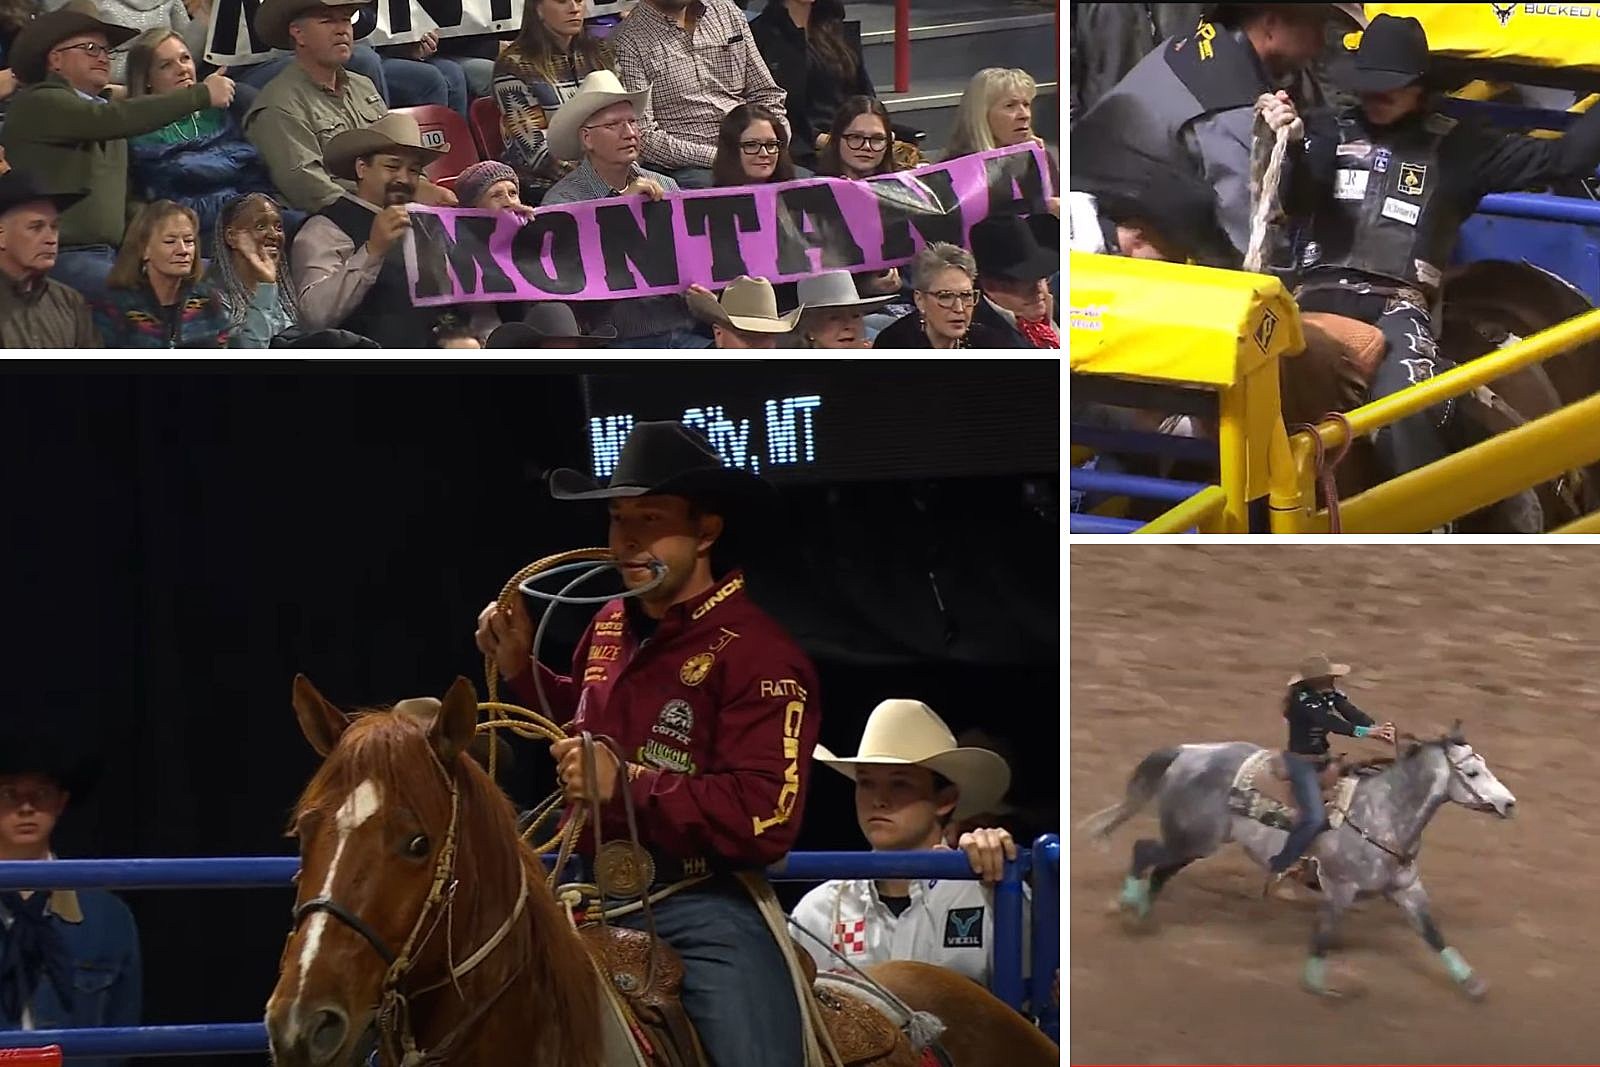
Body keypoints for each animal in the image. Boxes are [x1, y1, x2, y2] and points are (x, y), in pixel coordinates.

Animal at [1081, 726, 1516, 1004]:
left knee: (1161, 870)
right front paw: (1320, 987)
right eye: (1472, 771)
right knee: (1143, 851)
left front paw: (1472, 984)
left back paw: (1142, 915)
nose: (1509, 803)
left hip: (1197, 843)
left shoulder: (1407, 889)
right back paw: (1128, 906)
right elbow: (1323, 936)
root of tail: (1190, 751)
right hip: (1190, 837)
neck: (1384, 813)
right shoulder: (1339, 889)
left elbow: (1433, 935)